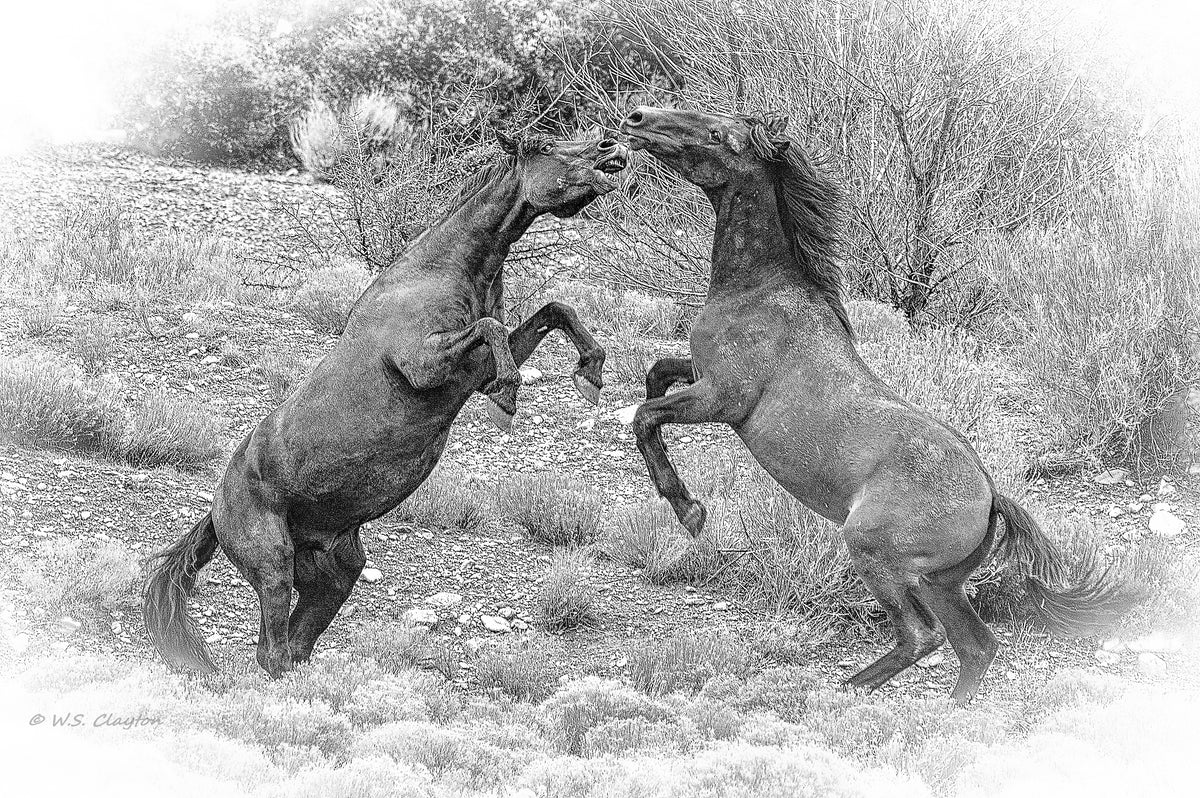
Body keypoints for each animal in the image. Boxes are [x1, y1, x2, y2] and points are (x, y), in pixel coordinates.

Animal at [143, 132, 628, 678]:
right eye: (547, 145)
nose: (612, 147)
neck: (438, 270)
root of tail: (216, 510)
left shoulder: (474, 370)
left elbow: (553, 310)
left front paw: (590, 374)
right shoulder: (424, 364)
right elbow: (493, 329)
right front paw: (509, 397)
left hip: (334, 575)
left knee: (295, 646)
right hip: (273, 566)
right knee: (272, 651)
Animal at [619, 106, 1138, 703]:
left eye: (718, 134)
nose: (636, 117)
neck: (759, 290)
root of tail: (991, 499)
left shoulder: (724, 399)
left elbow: (647, 416)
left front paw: (689, 511)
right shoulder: (698, 374)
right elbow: (655, 377)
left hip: (874, 554)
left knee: (922, 636)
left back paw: (843, 690)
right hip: (938, 582)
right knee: (976, 646)